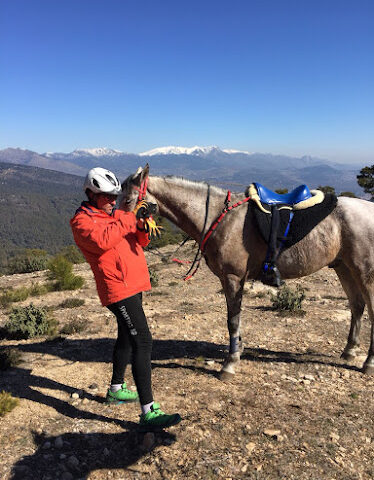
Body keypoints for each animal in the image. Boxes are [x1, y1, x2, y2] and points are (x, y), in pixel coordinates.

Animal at [119, 164, 374, 378]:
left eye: (128, 200)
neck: (218, 217)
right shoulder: (231, 279)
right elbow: (234, 317)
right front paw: (238, 349)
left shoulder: (233, 277)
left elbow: (233, 319)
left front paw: (230, 364)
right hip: (344, 267)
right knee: (357, 306)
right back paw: (349, 351)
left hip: (364, 272)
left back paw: (368, 363)